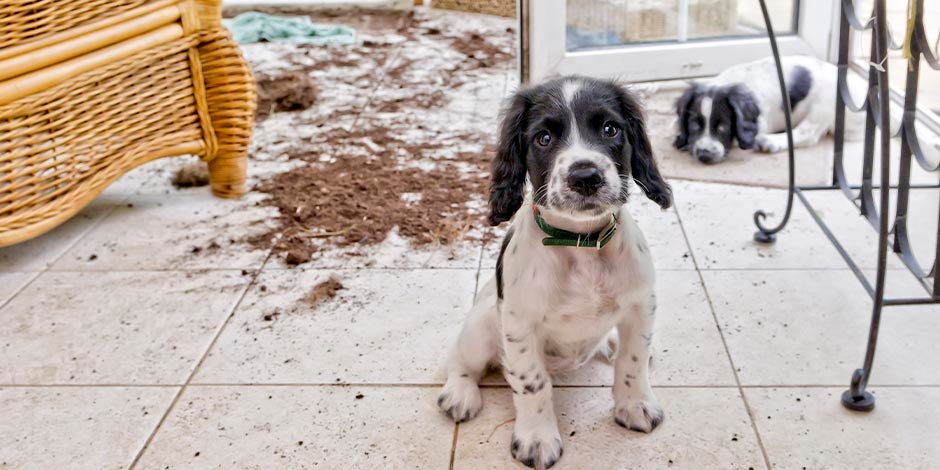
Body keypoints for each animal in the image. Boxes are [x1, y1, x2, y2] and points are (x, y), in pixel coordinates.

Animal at [436, 75, 672, 468]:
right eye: (543, 138)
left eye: (610, 129)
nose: (586, 176)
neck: (581, 244)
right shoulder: (519, 324)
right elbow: (532, 383)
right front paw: (536, 439)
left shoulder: (642, 305)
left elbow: (633, 360)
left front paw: (635, 405)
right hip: (482, 325)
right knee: (459, 360)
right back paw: (459, 393)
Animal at [672, 55, 872, 163]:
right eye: (694, 124)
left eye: (723, 126)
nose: (704, 155)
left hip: (826, 102)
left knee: (808, 134)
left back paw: (770, 142)